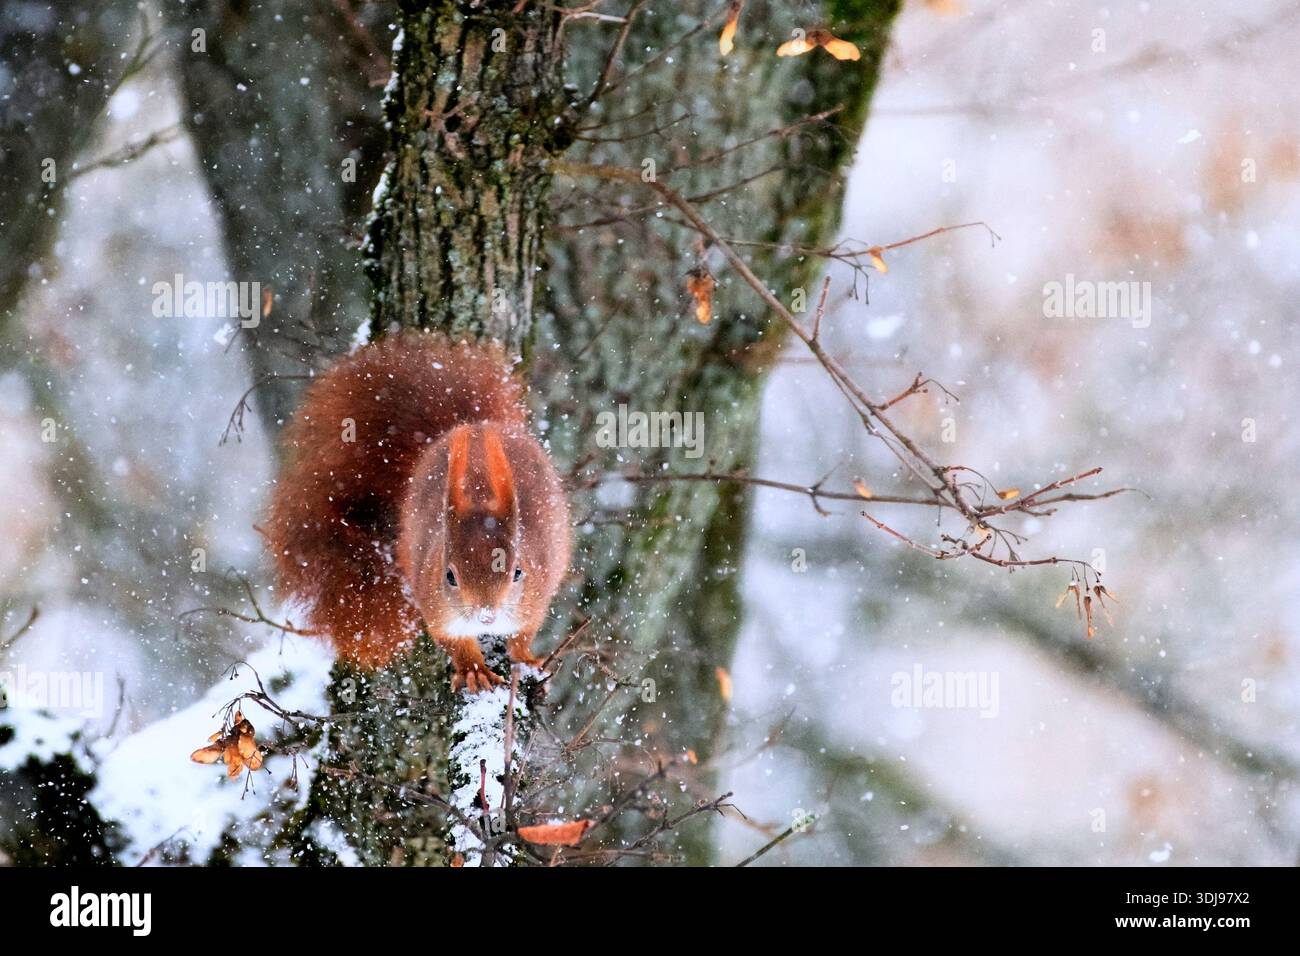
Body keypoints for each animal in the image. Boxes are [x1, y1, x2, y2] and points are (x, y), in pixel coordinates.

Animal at [264, 333, 572, 693]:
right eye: (449, 576)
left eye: (518, 572)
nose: (486, 615)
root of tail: (468, 426)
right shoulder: (435, 605)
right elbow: (453, 641)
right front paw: (473, 670)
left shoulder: (535, 597)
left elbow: (523, 635)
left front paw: (526, 659)